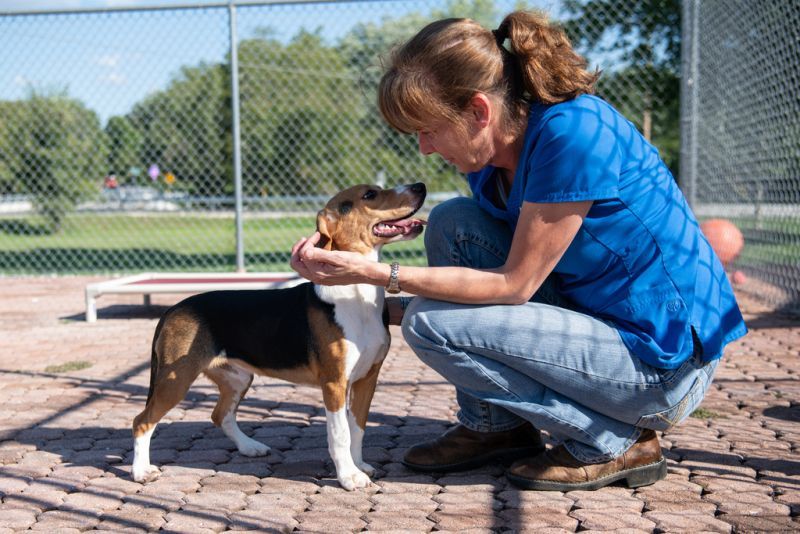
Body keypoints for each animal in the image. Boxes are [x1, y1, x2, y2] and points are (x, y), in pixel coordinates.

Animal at [131, 183, 428, 490]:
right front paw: (348, 476)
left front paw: (359, 466)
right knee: (142, 421)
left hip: (238, 378)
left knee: (220, 415)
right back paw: (141, 472)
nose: (420, 186)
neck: (356, 293)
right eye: (370, 194)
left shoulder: (367, 378)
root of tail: (173, 309)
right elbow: (340, 434)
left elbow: (357, 427)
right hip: (175, 381)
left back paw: (250, 447)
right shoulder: (334, 383)